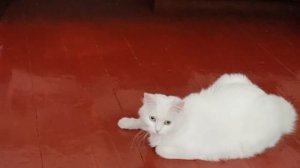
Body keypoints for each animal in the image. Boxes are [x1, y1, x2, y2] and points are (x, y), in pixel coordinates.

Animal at [116, 74, 296, 161]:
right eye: (152, 118)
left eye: (168, 122)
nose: (158, 130)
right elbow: (139, 122)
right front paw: (125, 122)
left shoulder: (191, 148)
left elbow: (160, 150)